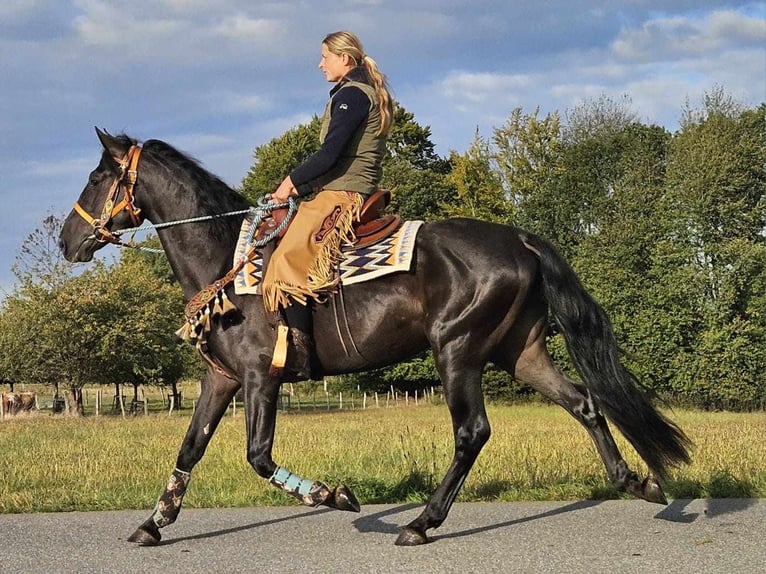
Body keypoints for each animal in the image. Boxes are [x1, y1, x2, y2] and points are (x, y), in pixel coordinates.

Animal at [63, 130, 692, 548]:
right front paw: (152, 524)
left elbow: (258, 457)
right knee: (584, 404)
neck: (226, 260)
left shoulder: (260, 377)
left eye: (96, 178)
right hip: (520, 352)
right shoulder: (220, 379)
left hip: (457, 349)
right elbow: (190, 448)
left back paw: (421, 523)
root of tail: (520, 238)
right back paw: (636, 482)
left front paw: (336, 495)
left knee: (472, 432)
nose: (67, 240)